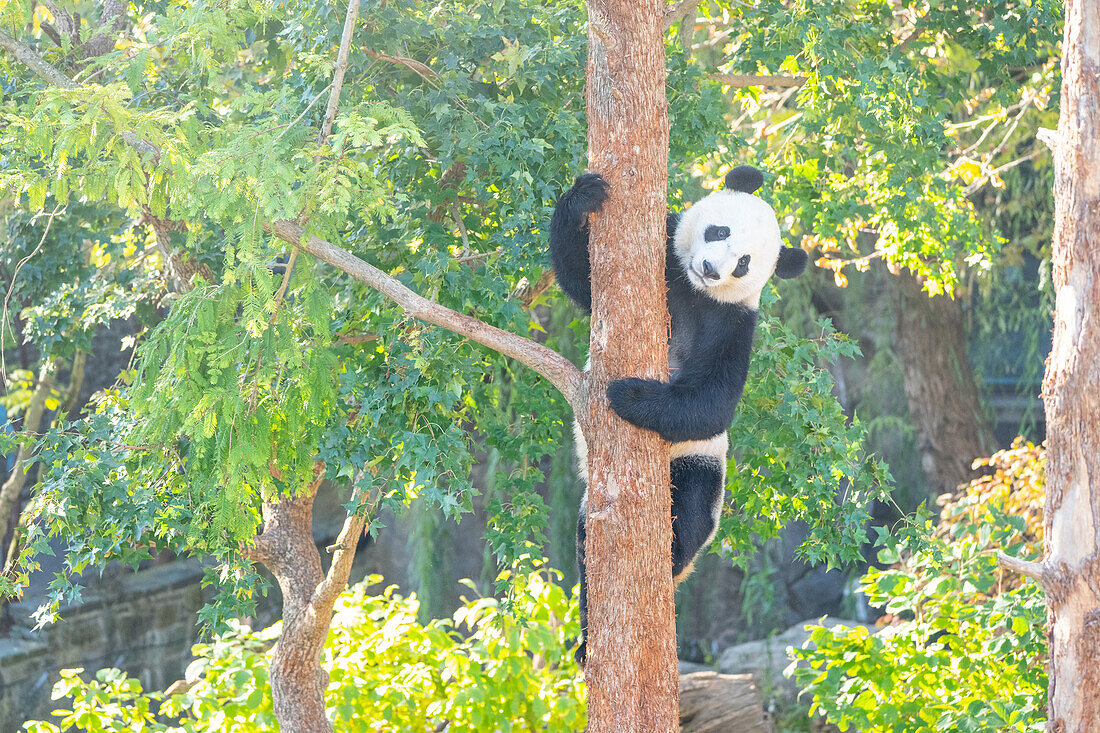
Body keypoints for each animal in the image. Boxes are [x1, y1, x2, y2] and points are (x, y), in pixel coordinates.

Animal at [550, 165, 809, 660]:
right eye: (719, 230)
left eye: (743, 263)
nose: (710, 269)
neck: (691, 289)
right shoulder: (663, 259)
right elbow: (583, 280)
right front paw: (584, 197)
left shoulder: (733, 321)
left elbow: (713, 402)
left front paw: (630, 393)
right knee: (585, 547)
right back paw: (589, 637)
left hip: (697, 464)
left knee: (690, 512)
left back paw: (667, 561)